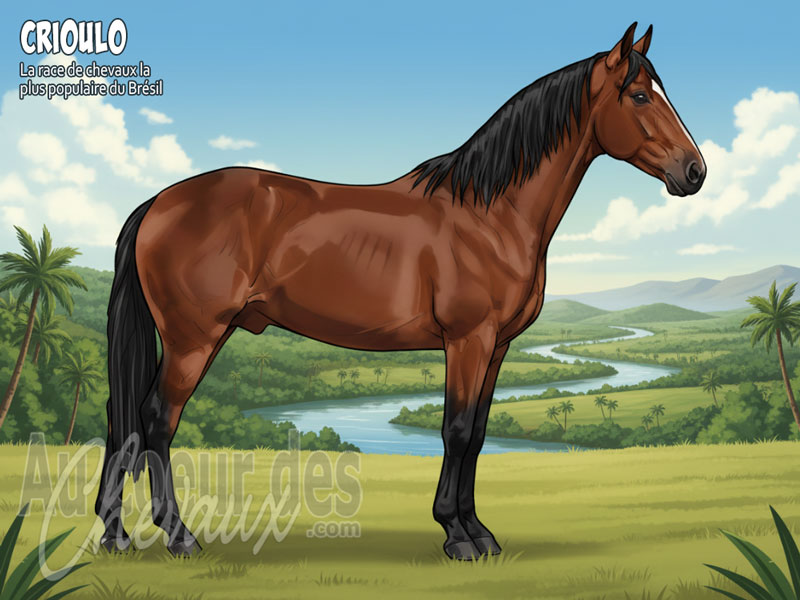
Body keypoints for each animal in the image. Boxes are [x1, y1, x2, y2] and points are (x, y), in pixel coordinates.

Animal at [95, 22, 705, 560]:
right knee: (157, 420)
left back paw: (114, 534)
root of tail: (159, 202)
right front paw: (457, 536)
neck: (489, 213)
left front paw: (480, 532)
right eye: (639, 95)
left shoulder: (498, 347)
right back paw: (178, 537)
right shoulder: (468, 340)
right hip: (193, 339)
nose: (694, 172)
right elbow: (456, 430)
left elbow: (478, 434)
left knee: (122, 419)